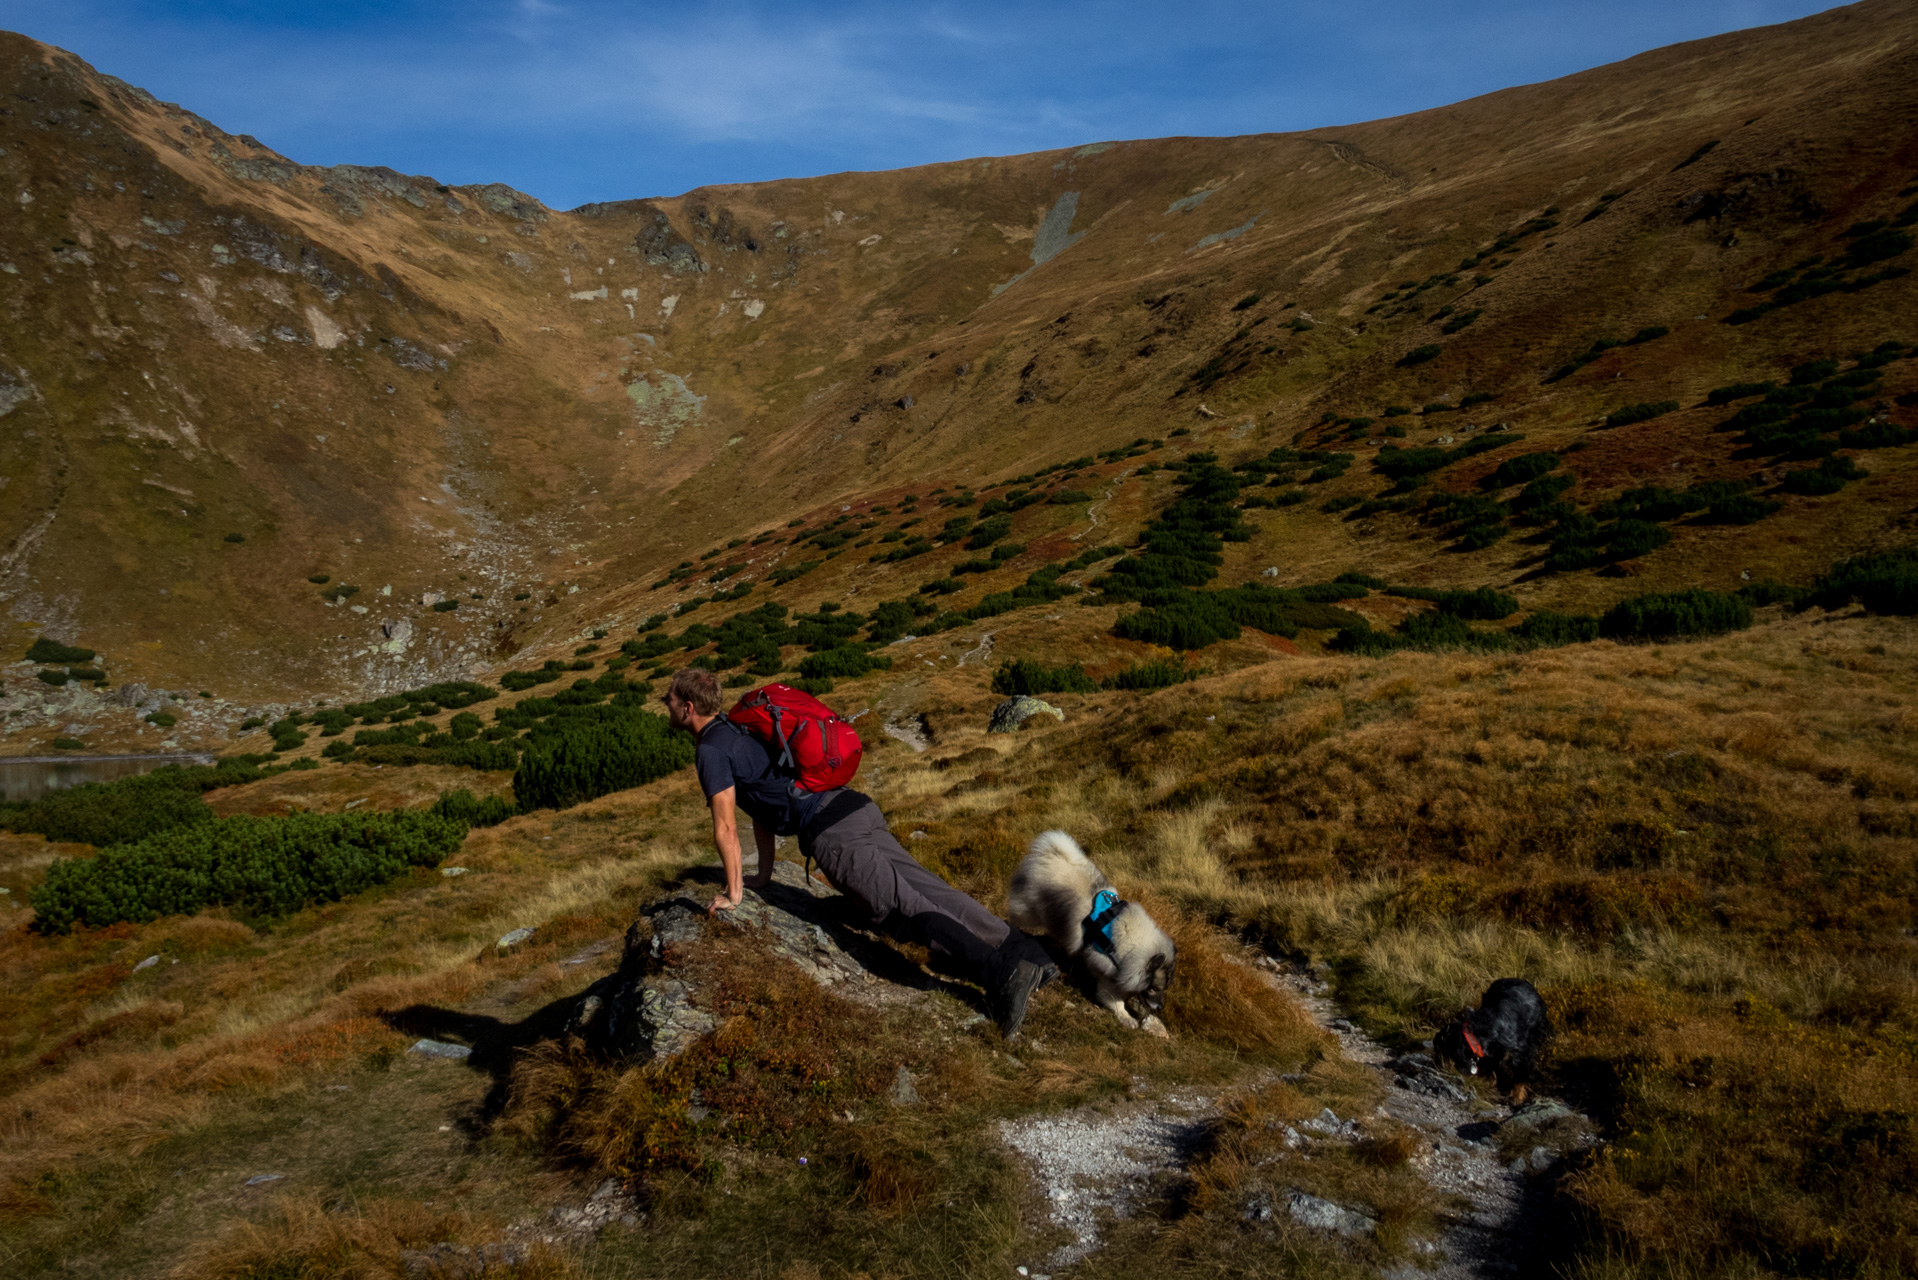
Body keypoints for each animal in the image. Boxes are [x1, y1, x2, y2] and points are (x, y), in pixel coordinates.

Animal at [1012, 836, 1173, 1036]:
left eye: (1164, 988)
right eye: (1154, 988)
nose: (1161, 1007)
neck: (1132, 945)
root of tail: (1051, 853)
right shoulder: (1106, 972)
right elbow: (1114, 1000)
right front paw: (1126, 1017)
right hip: (1029, 912)